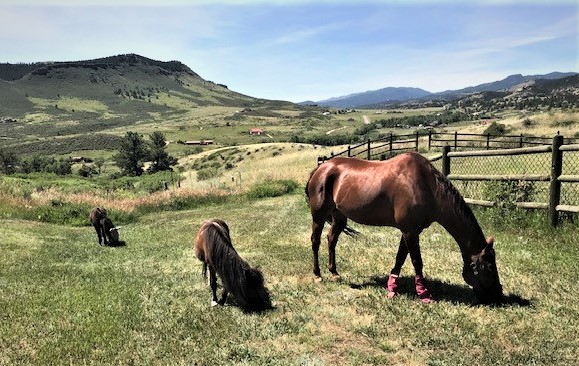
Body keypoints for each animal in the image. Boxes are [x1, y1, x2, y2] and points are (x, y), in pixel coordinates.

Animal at [306, 153, 506, 304]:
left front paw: (392, 288)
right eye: (489, 266)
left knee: (331, 240)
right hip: (319, 215)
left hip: (339, 217)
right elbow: (417, 261)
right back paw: (317, 275)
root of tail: (322, 168)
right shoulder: (410, 231)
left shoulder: (409, 230)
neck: (427, 186)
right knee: (315, 241)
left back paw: (334, 273)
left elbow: (400, 259)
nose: (498, 295)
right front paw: (424, 294)